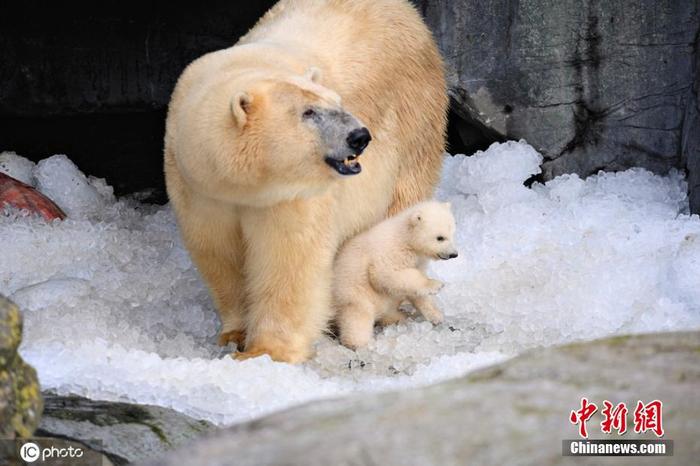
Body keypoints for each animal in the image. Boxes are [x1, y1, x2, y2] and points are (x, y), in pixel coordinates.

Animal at [164, 0, 446, 364]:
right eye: (308, 112)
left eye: (337, 102)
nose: (359, 136)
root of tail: (409, 12)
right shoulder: (198, 189)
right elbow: (220, 254)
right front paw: (234, 334)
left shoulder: (293, 194)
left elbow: (290, 262)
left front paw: (266, 351)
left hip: (414, 121)